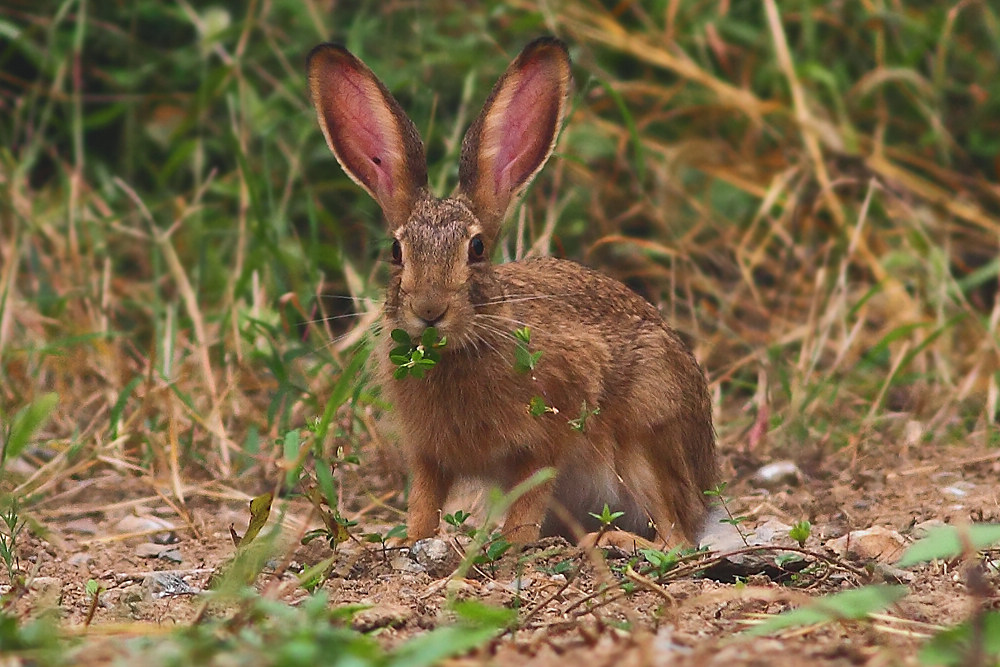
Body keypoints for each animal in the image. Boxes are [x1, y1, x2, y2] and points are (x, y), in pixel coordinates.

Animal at [308, 35, 716, 548]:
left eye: (477, 248)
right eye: (397, 252)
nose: (429, 310)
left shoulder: (550, 431)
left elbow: (530, 493)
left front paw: (514, 543)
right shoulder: (428, 455)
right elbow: (424, 499)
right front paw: (409, 541)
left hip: (647, 432)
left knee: (676, 537)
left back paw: (609, 541)